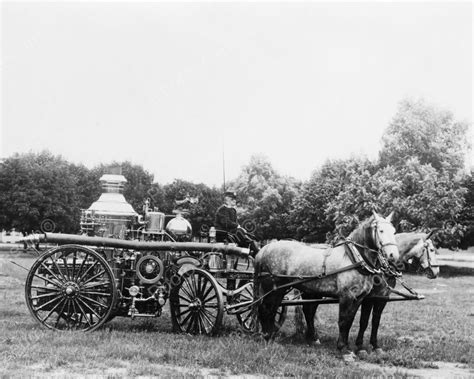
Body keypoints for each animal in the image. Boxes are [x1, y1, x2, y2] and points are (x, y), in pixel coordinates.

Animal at [254, 212, 398, 360]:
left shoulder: (359, 298)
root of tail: (264, 250)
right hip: (273, 288)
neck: (354, 258)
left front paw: (350, 347)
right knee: (266, 309)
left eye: (394, 231)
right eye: (381, 230)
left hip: (285, 290)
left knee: (279, 310)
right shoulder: (346, 296)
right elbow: (343, 321)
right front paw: (343, 349)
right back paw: (267, 337)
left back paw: (274, 336)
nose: (393, 255)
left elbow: (351, 320)